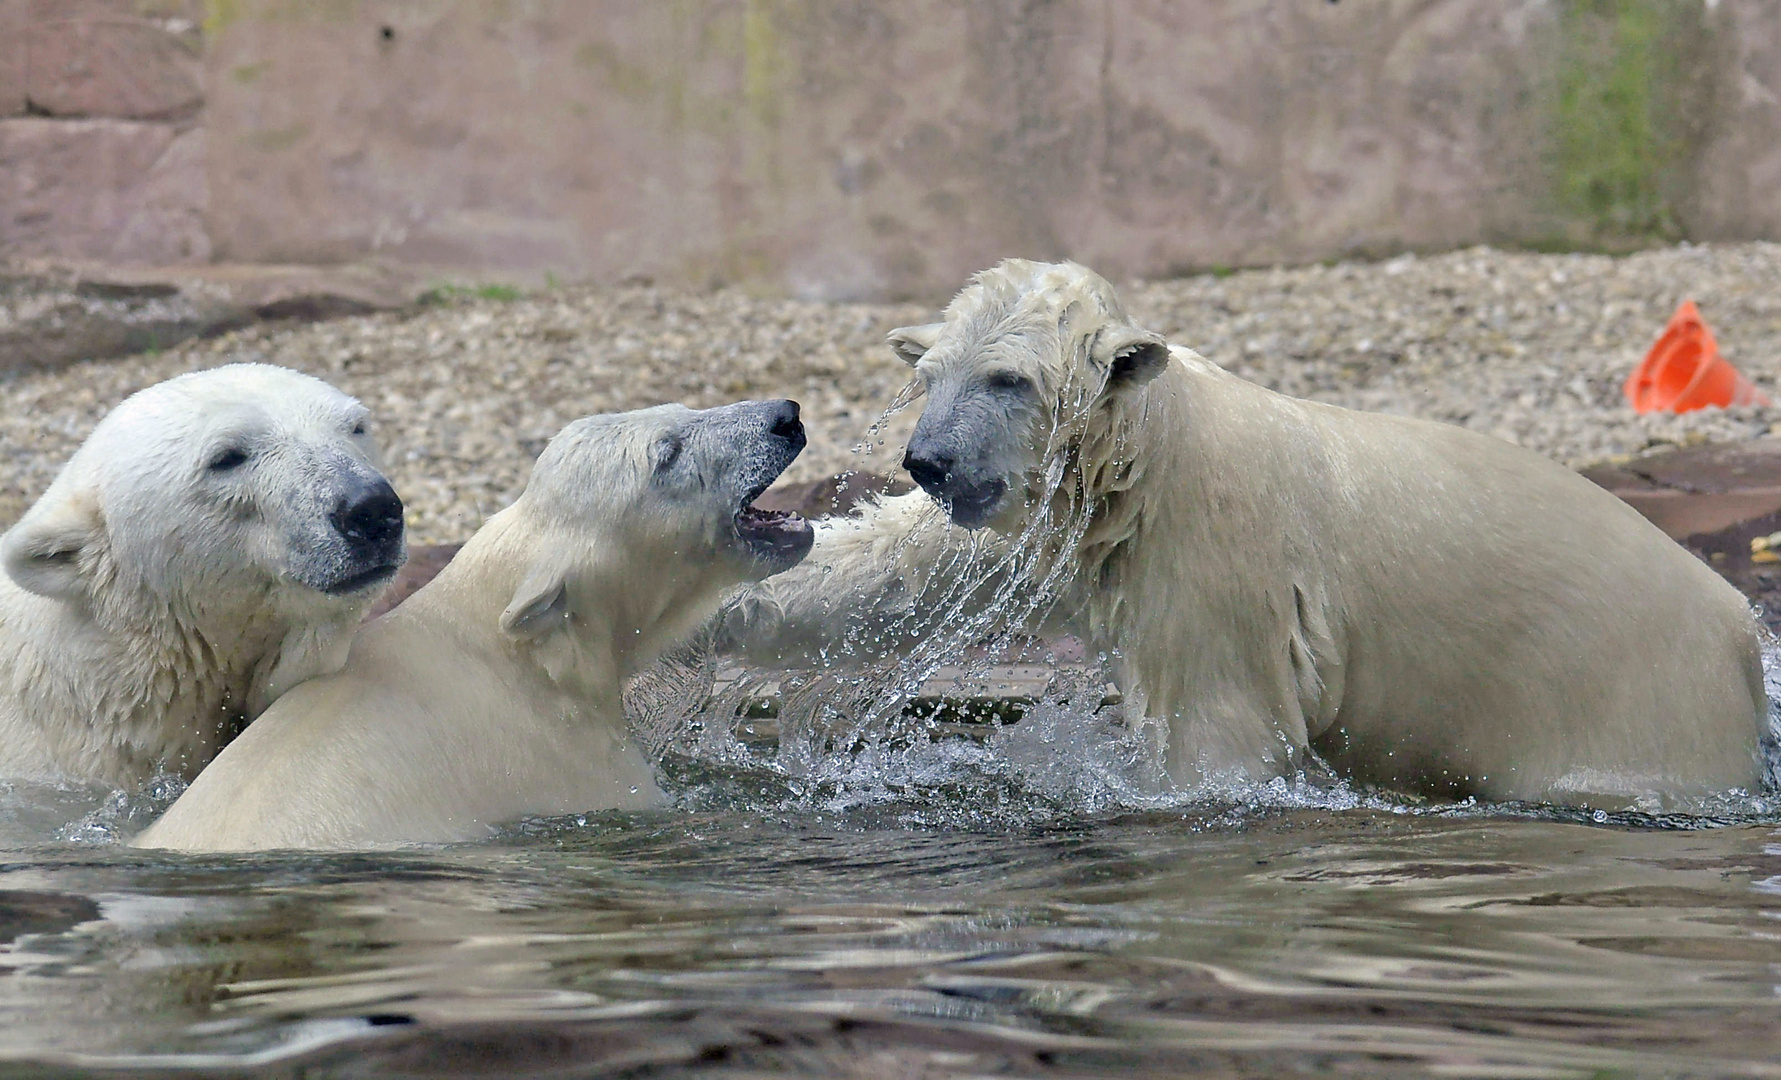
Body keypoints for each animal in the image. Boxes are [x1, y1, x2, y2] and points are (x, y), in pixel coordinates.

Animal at [719, 258, 1766, 809]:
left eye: (1007, 380)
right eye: (929, 374)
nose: (928, 460)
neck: (1145, 455)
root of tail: (1738, 634)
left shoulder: (1216, 561)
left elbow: (1220, 734)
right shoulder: (1049, 522)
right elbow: (897, 568)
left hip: (1624, 700)